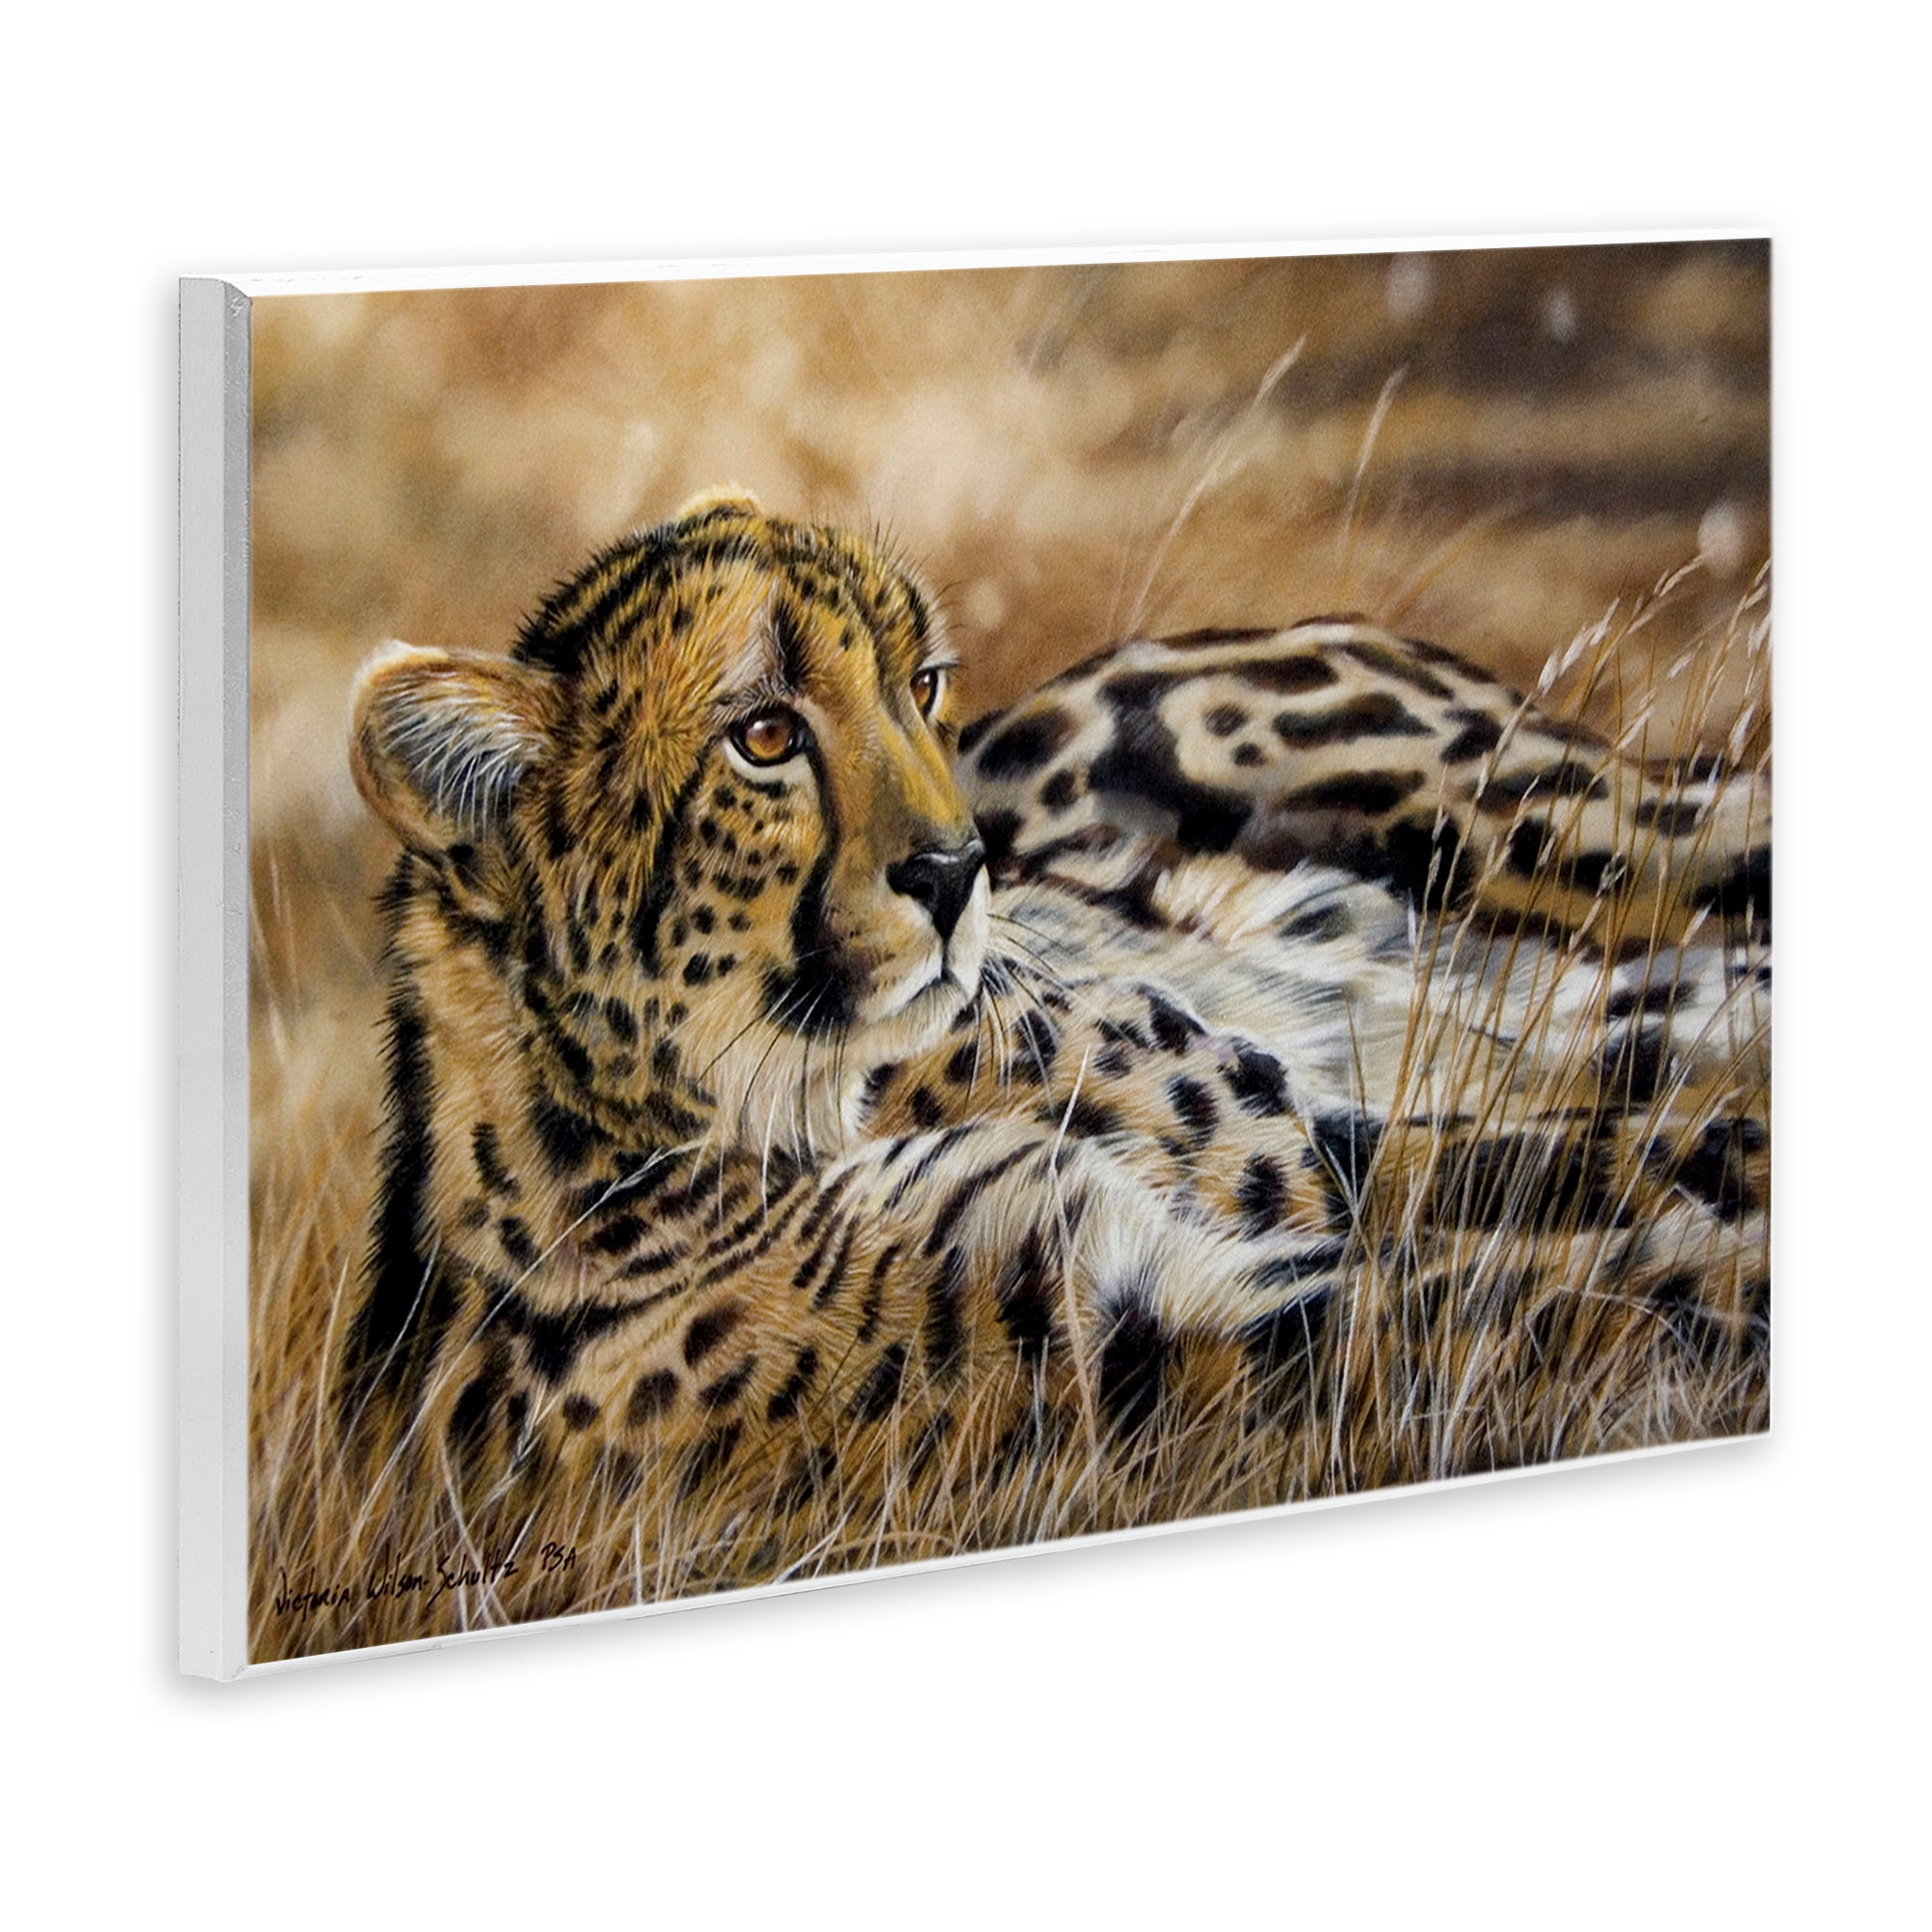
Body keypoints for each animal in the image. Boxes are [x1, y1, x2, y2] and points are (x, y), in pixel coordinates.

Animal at [339, 486, 1769, 1627]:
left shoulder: (1284, 1161)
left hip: (1546, 825)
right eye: (764, 735)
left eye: (918, 685)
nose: (960, 865)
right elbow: (1548, 1277)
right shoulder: (1165, 1322)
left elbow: (1606, 1179)